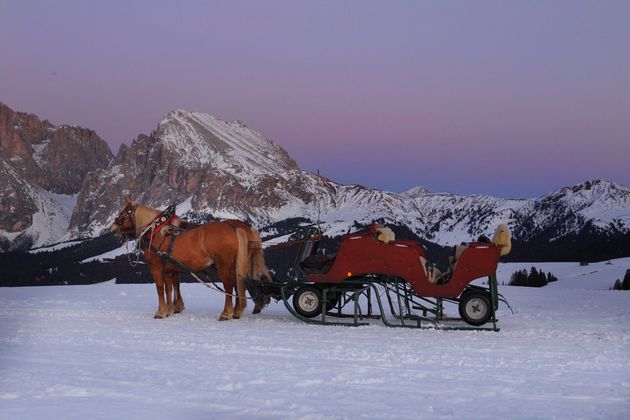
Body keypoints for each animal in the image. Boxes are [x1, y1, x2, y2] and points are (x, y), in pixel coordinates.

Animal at [111, 199, 272, 320]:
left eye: (123, 214)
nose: (112, 229)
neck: (155, 232)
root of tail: (233, 228)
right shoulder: (170, 269)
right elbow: (171, 287)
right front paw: (172, 308)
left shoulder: (156, 268)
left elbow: (160, 289)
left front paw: (161, 312)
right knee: (238, 284)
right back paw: (238, 310)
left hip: (224, 265)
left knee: (229, 286)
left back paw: (226, 313)